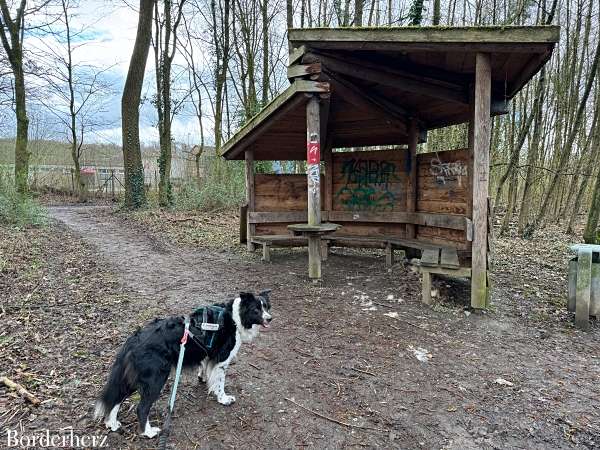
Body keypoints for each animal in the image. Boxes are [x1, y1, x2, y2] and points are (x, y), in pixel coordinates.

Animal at [93, 290, 272, 438]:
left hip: (135, 377)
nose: (270, 318)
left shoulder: (208, 355)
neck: (235, 317)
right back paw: (148, 432)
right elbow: (220, 382)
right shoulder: (222, 359)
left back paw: (112, 423)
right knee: (141, 408)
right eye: (256, 310)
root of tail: (133, 340)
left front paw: (203, 379)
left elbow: (205, 369)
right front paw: (223, 399)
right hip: (156, 379)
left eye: (267, 307)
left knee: (118, 396)